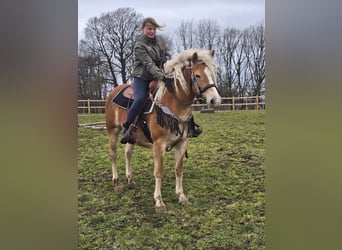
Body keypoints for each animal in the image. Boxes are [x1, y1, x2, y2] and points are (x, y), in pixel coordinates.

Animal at [105, 48, 222, 213]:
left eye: (212, 74)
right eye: (198, 75)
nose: (215, 100)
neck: (172, 104)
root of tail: (112, 92)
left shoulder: (182, 143)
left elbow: (178, 170)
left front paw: (181, 197)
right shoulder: (159, 145)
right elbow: (158, 172)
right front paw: (159, 202)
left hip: (132, 136)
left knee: (127, 153)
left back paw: (130, 180)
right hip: (112, 131)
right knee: (113, 155)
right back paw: (117, 184)